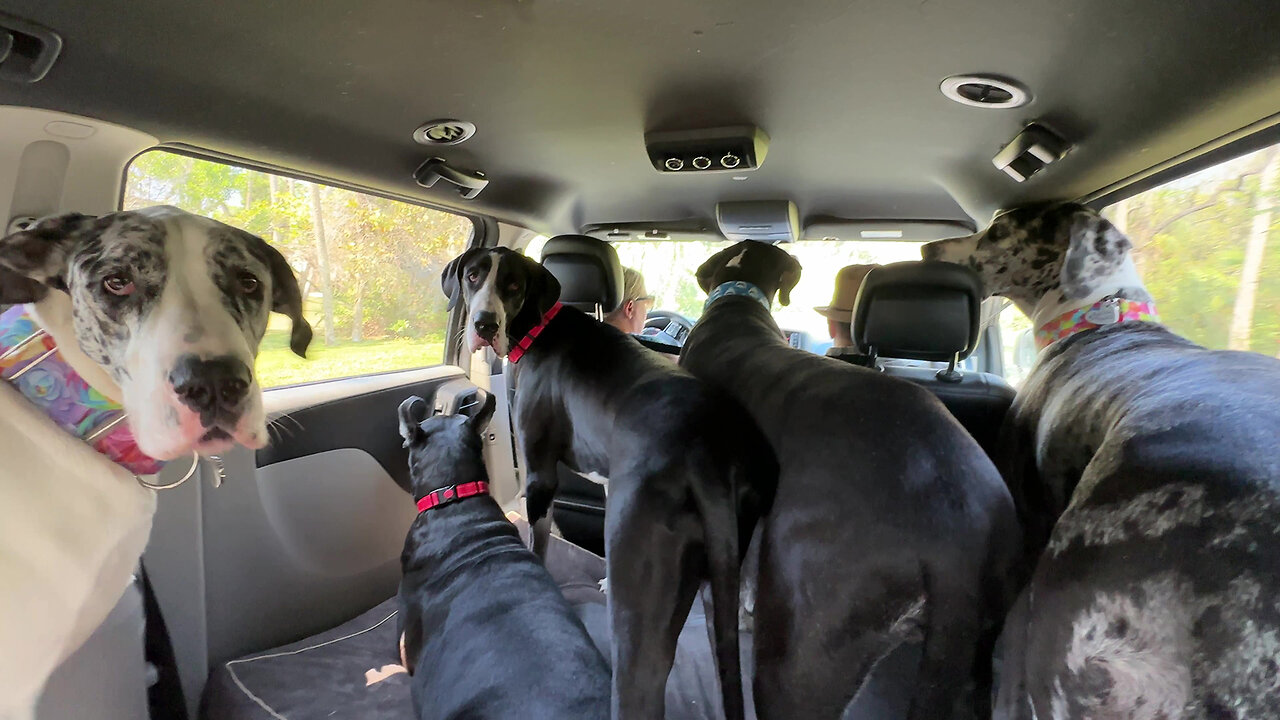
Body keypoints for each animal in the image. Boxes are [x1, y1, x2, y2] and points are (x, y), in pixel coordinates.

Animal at [440, 245, 778, 717]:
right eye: (473, 276)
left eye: (512, 286)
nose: (485, 325)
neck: (540, 326)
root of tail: (705, 454)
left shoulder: (540, 475)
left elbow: (539, 542)